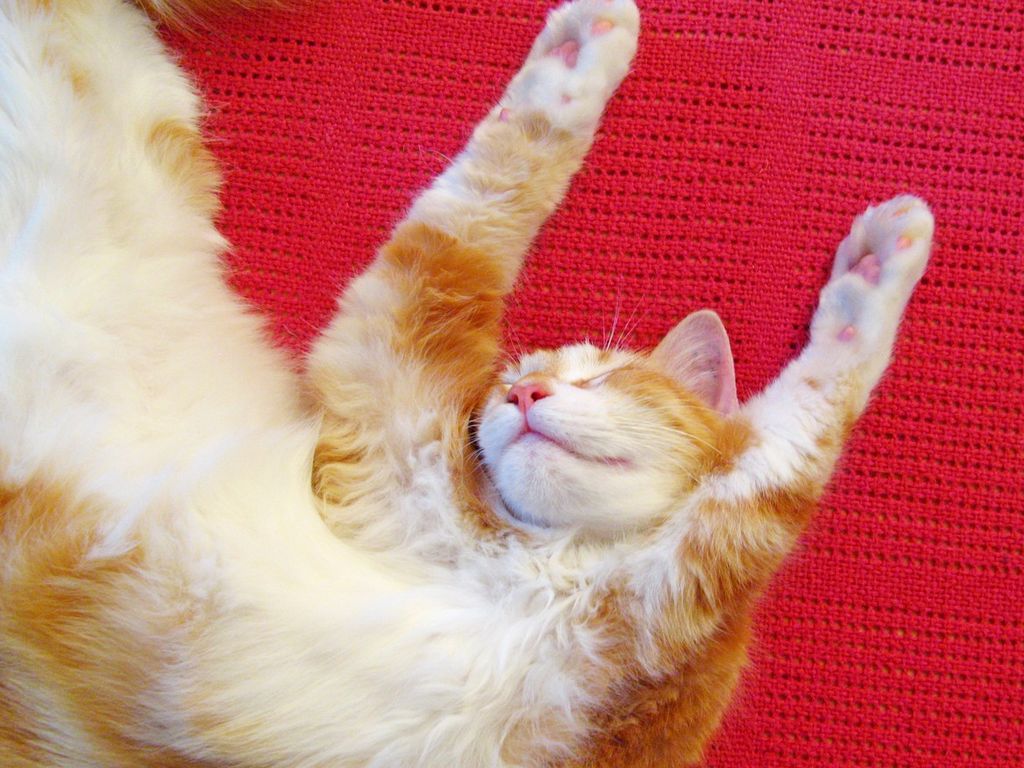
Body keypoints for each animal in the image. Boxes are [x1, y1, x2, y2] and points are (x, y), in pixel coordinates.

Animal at [0, 0, 935, 766]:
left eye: (604, 376)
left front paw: (877, 269)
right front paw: (577, 60)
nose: (524, 398)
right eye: (510, 383)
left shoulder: (694, 586)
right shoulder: (388, 384)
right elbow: (491, 190)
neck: (541, 569)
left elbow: (812, 415)